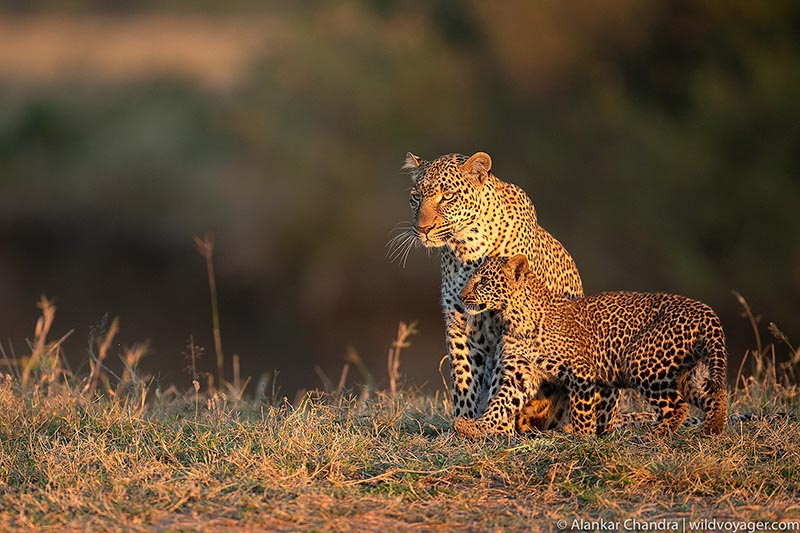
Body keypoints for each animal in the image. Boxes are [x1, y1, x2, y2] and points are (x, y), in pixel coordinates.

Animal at [396, 151, 596, 431]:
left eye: (447, 196)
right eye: (416, 197)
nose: (423, 229)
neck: (467, 249)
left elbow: (506, 378)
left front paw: (497, 428)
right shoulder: (460, 323)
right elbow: (463, 377)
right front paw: (464, 420)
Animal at [454, 254, 728, 438]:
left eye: (484, 281)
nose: (462, 296)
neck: (513, 318)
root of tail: (705, 311)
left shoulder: (581, 373)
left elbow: (582, 411)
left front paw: (583, 438)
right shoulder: (520, 375)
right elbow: (500, 404)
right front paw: (475, 426)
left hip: (641, 361)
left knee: (678, 407)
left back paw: (654, 435)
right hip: (687, 374)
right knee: (714, 395)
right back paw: (712, 428)